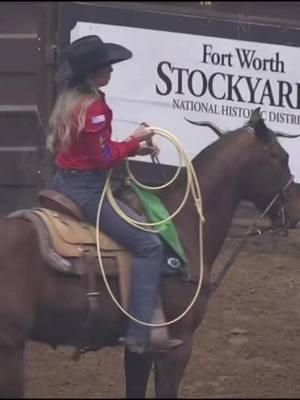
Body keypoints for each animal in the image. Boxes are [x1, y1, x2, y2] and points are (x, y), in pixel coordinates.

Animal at [0, 108, 300, 398]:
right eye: (281, 156)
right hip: (10, 352)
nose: (296, 212)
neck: (184, 223)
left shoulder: (140, 349)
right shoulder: (177, 344)